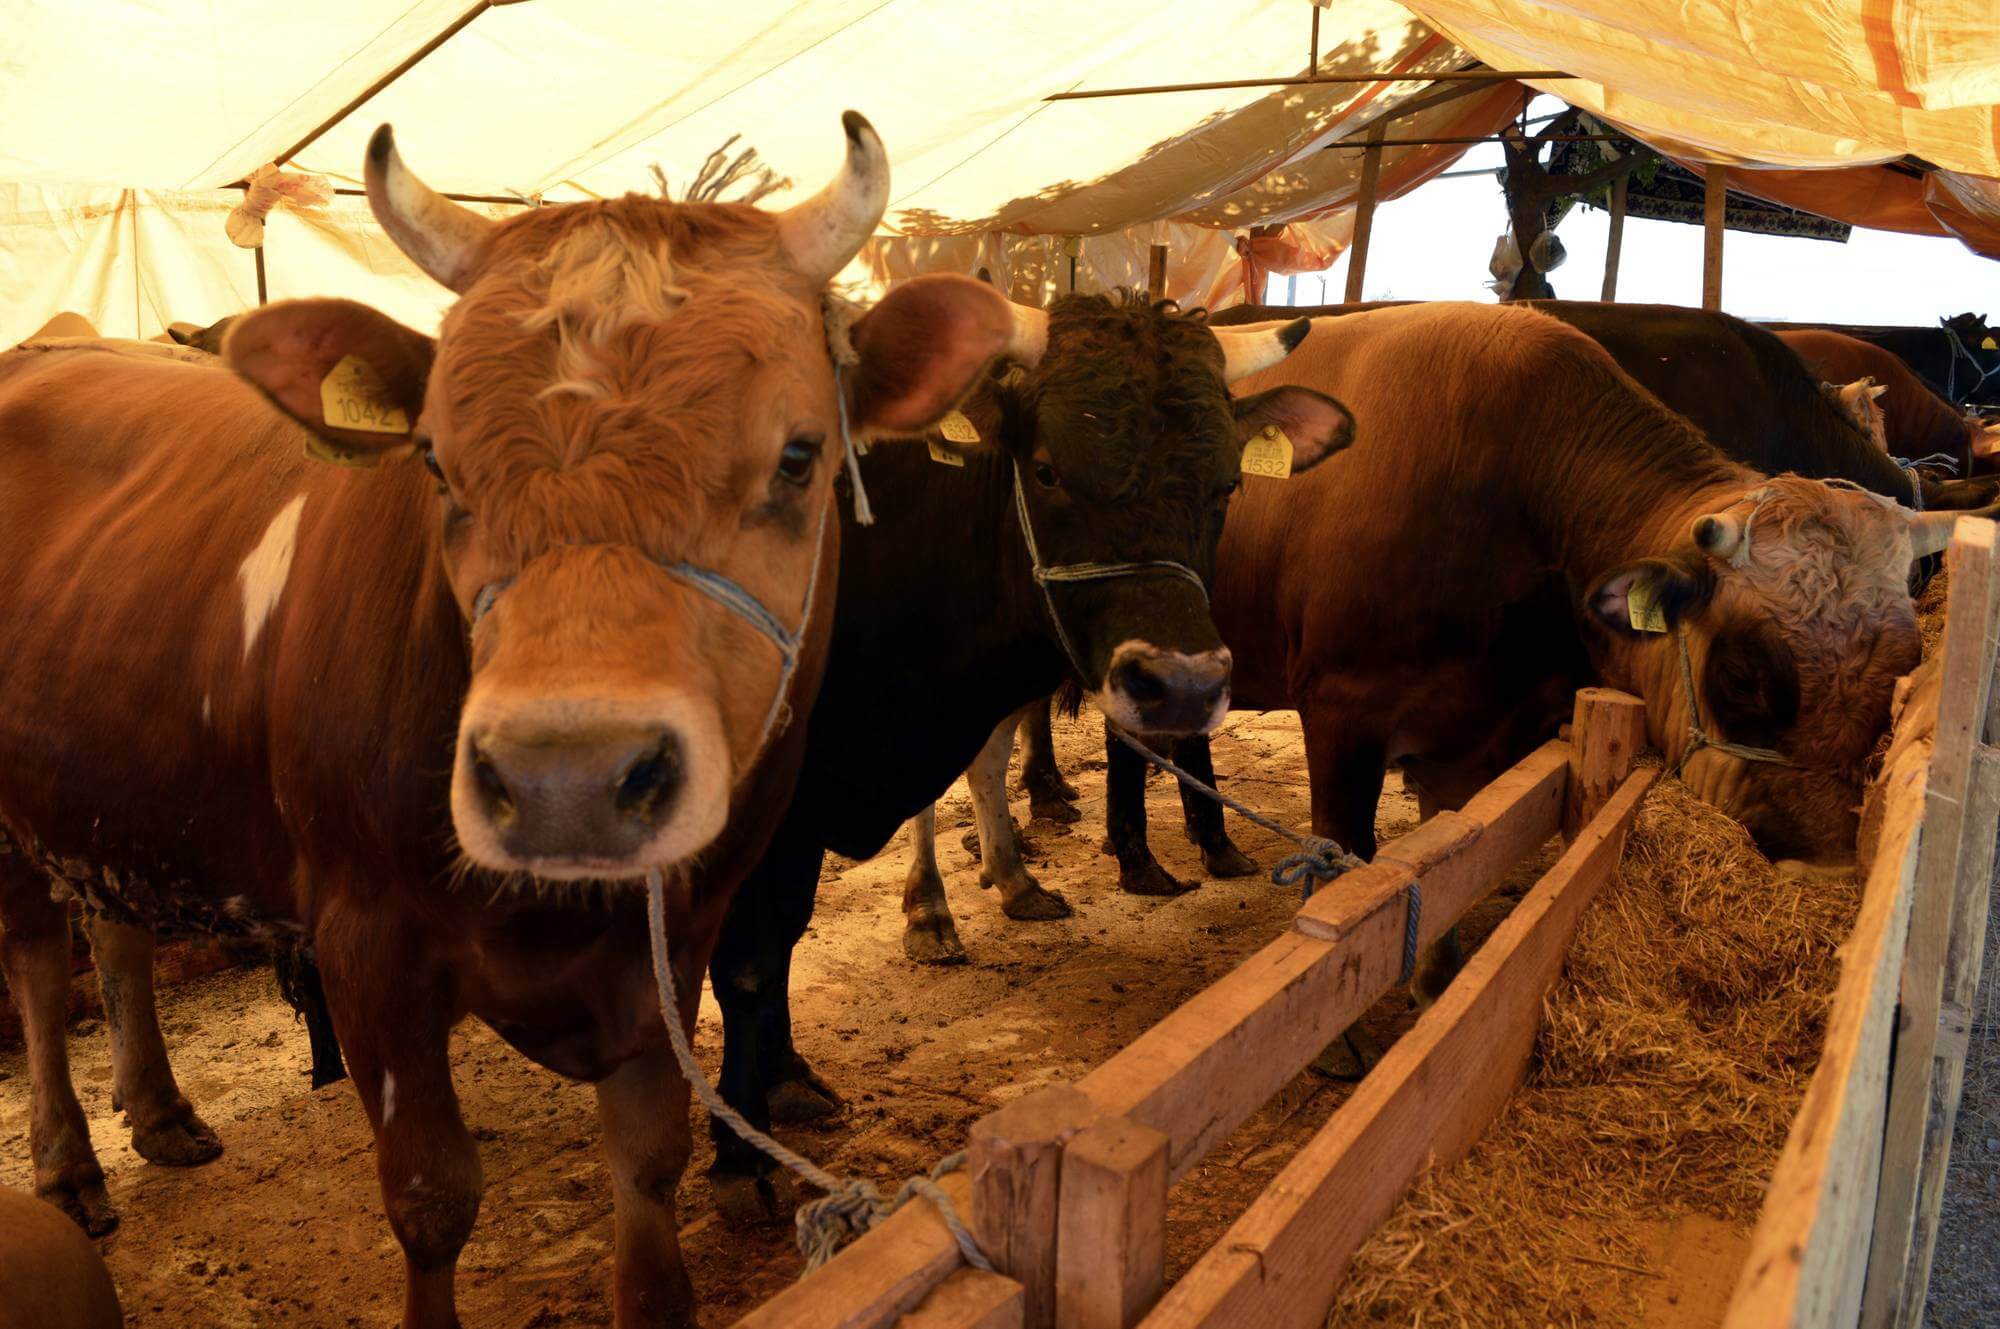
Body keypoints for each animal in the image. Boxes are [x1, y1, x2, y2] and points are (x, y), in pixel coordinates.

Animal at [0, 116, 1024, 1329]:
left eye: (799, 455)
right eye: (437, 461)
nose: (563, 782)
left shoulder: (675, 932)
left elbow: (649, 1163)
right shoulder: (365, 940)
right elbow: (432, 1195)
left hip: (107, 782)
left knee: (113, 928)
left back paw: (160, 1113)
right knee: (34, 962)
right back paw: (70, 1163)